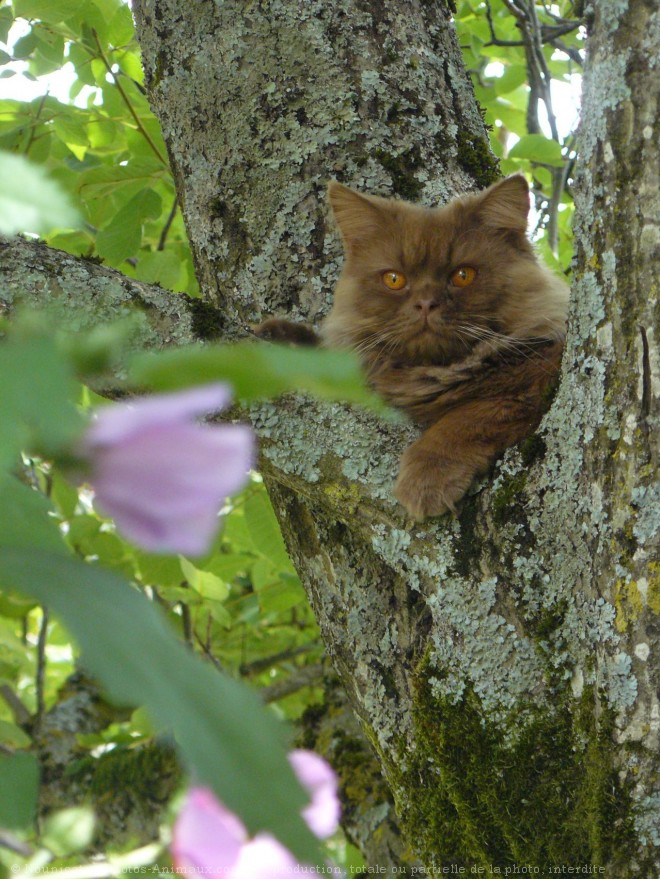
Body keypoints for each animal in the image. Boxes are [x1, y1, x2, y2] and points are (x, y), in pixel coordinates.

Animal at [256, 177, 568, 524]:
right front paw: (283, 341)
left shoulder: (540, 378)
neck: (434, 373)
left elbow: (466, 419)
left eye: (463, 275)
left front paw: (425, 481)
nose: (426, 304)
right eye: (394, 279)